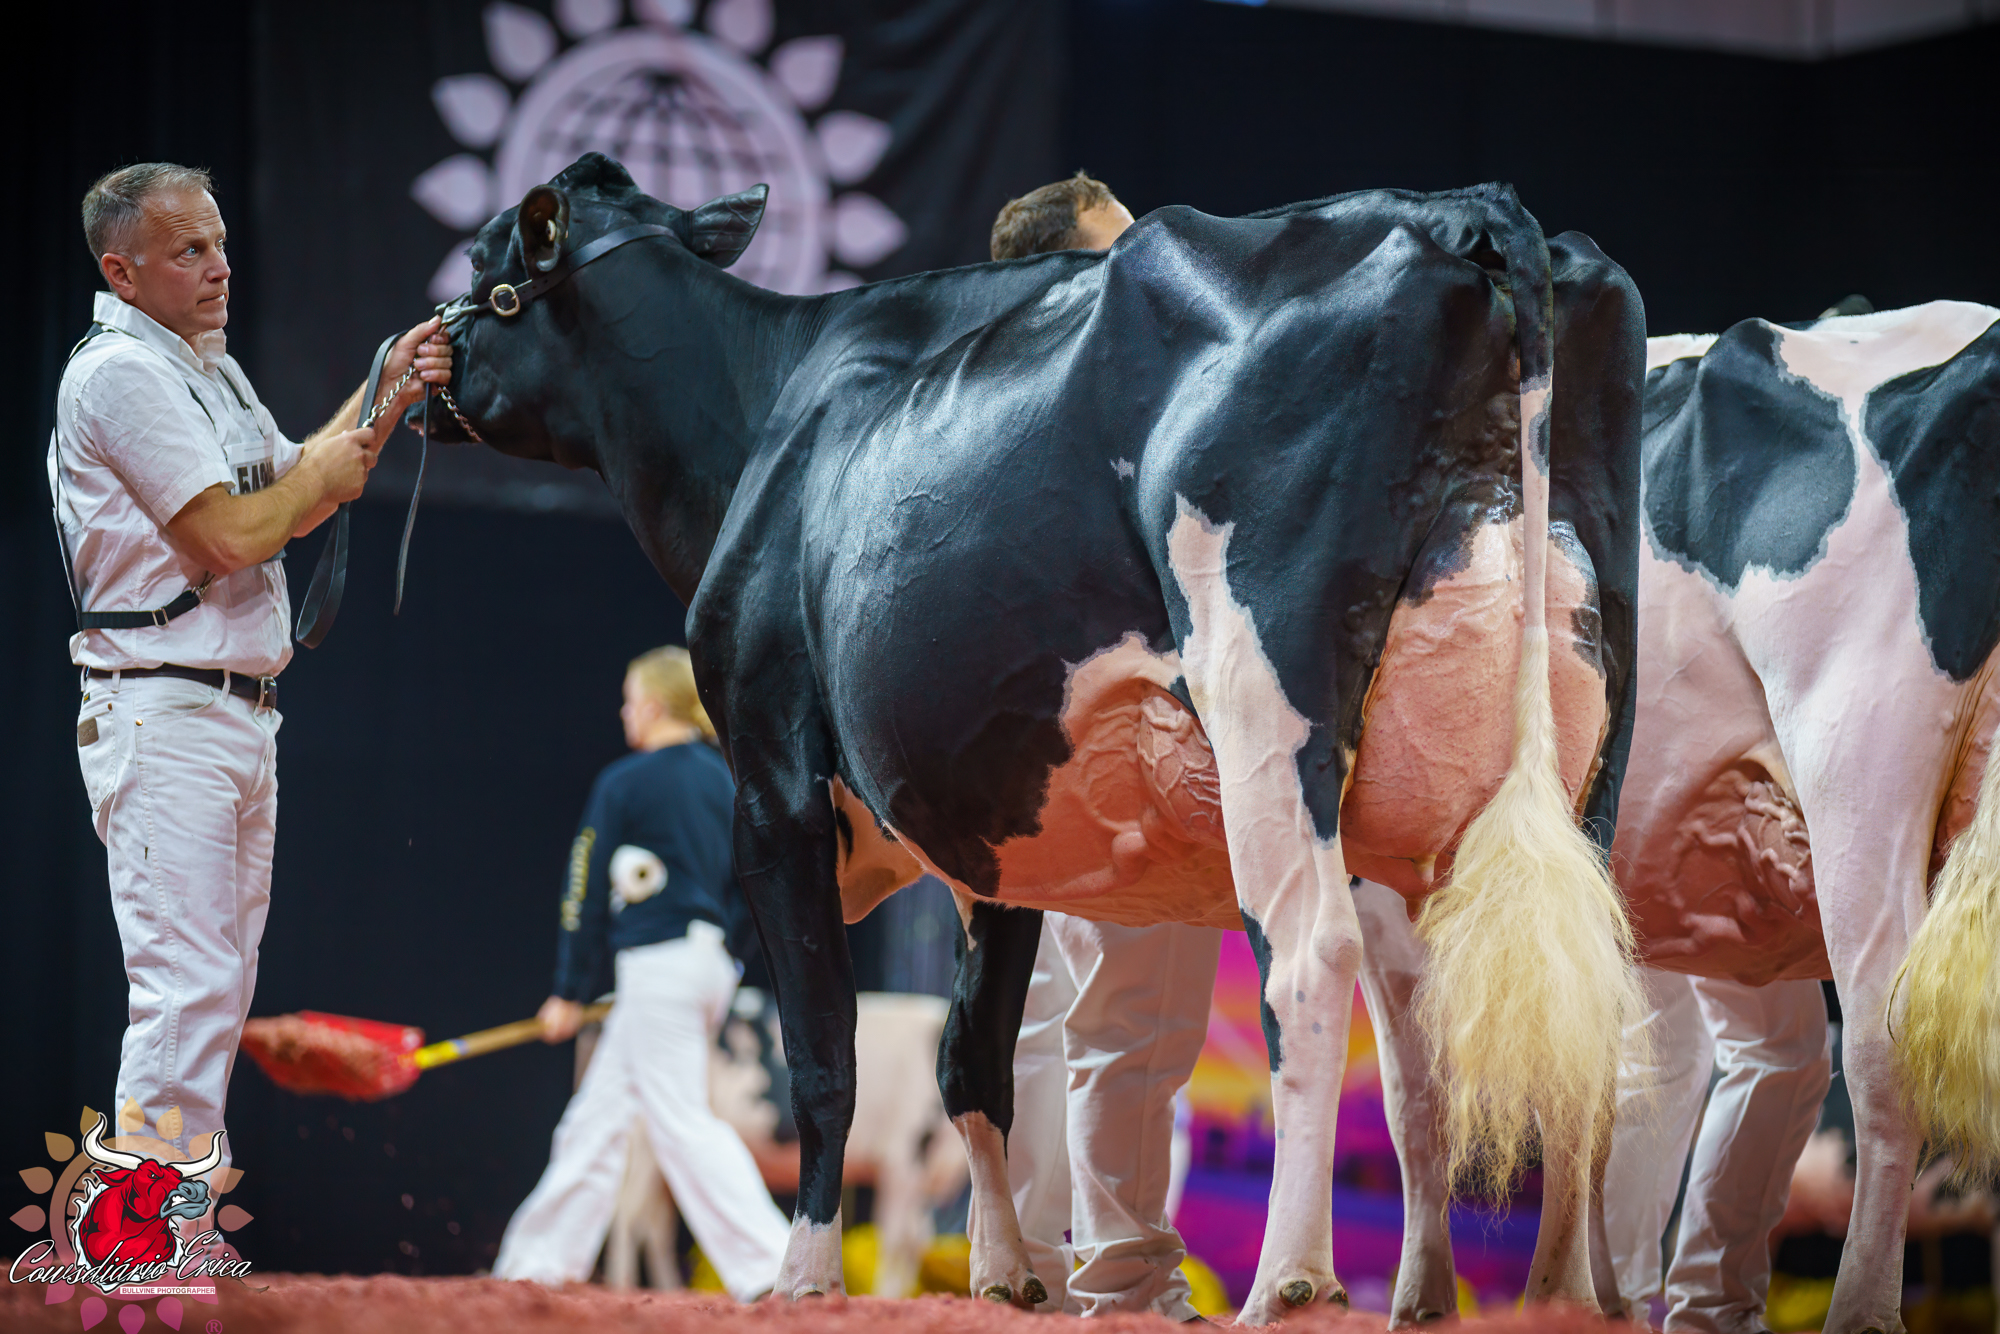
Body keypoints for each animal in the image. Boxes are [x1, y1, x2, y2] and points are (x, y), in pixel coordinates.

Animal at [413, 151, 1646, 1322]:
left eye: (482, 266)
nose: (415, 362)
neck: (768, 418)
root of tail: (1463, 207)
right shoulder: (990, 827)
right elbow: (972, 1055)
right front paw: (1005, 1273)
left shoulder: (769, 784)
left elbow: (825, 1052)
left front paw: (804, 1275)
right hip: (1576, 729)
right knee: (1549, 989)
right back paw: (1533, 1291)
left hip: (1265, 690)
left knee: (1308, 959)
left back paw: (1289, 1281)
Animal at [1359, 301, 2000, 1334]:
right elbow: (1600, 1091)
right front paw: (1585, 1294)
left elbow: (1415, 1091)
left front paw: (1426, 1298)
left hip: (1858, 759)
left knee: (1882, 1048)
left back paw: (1862, 1304)